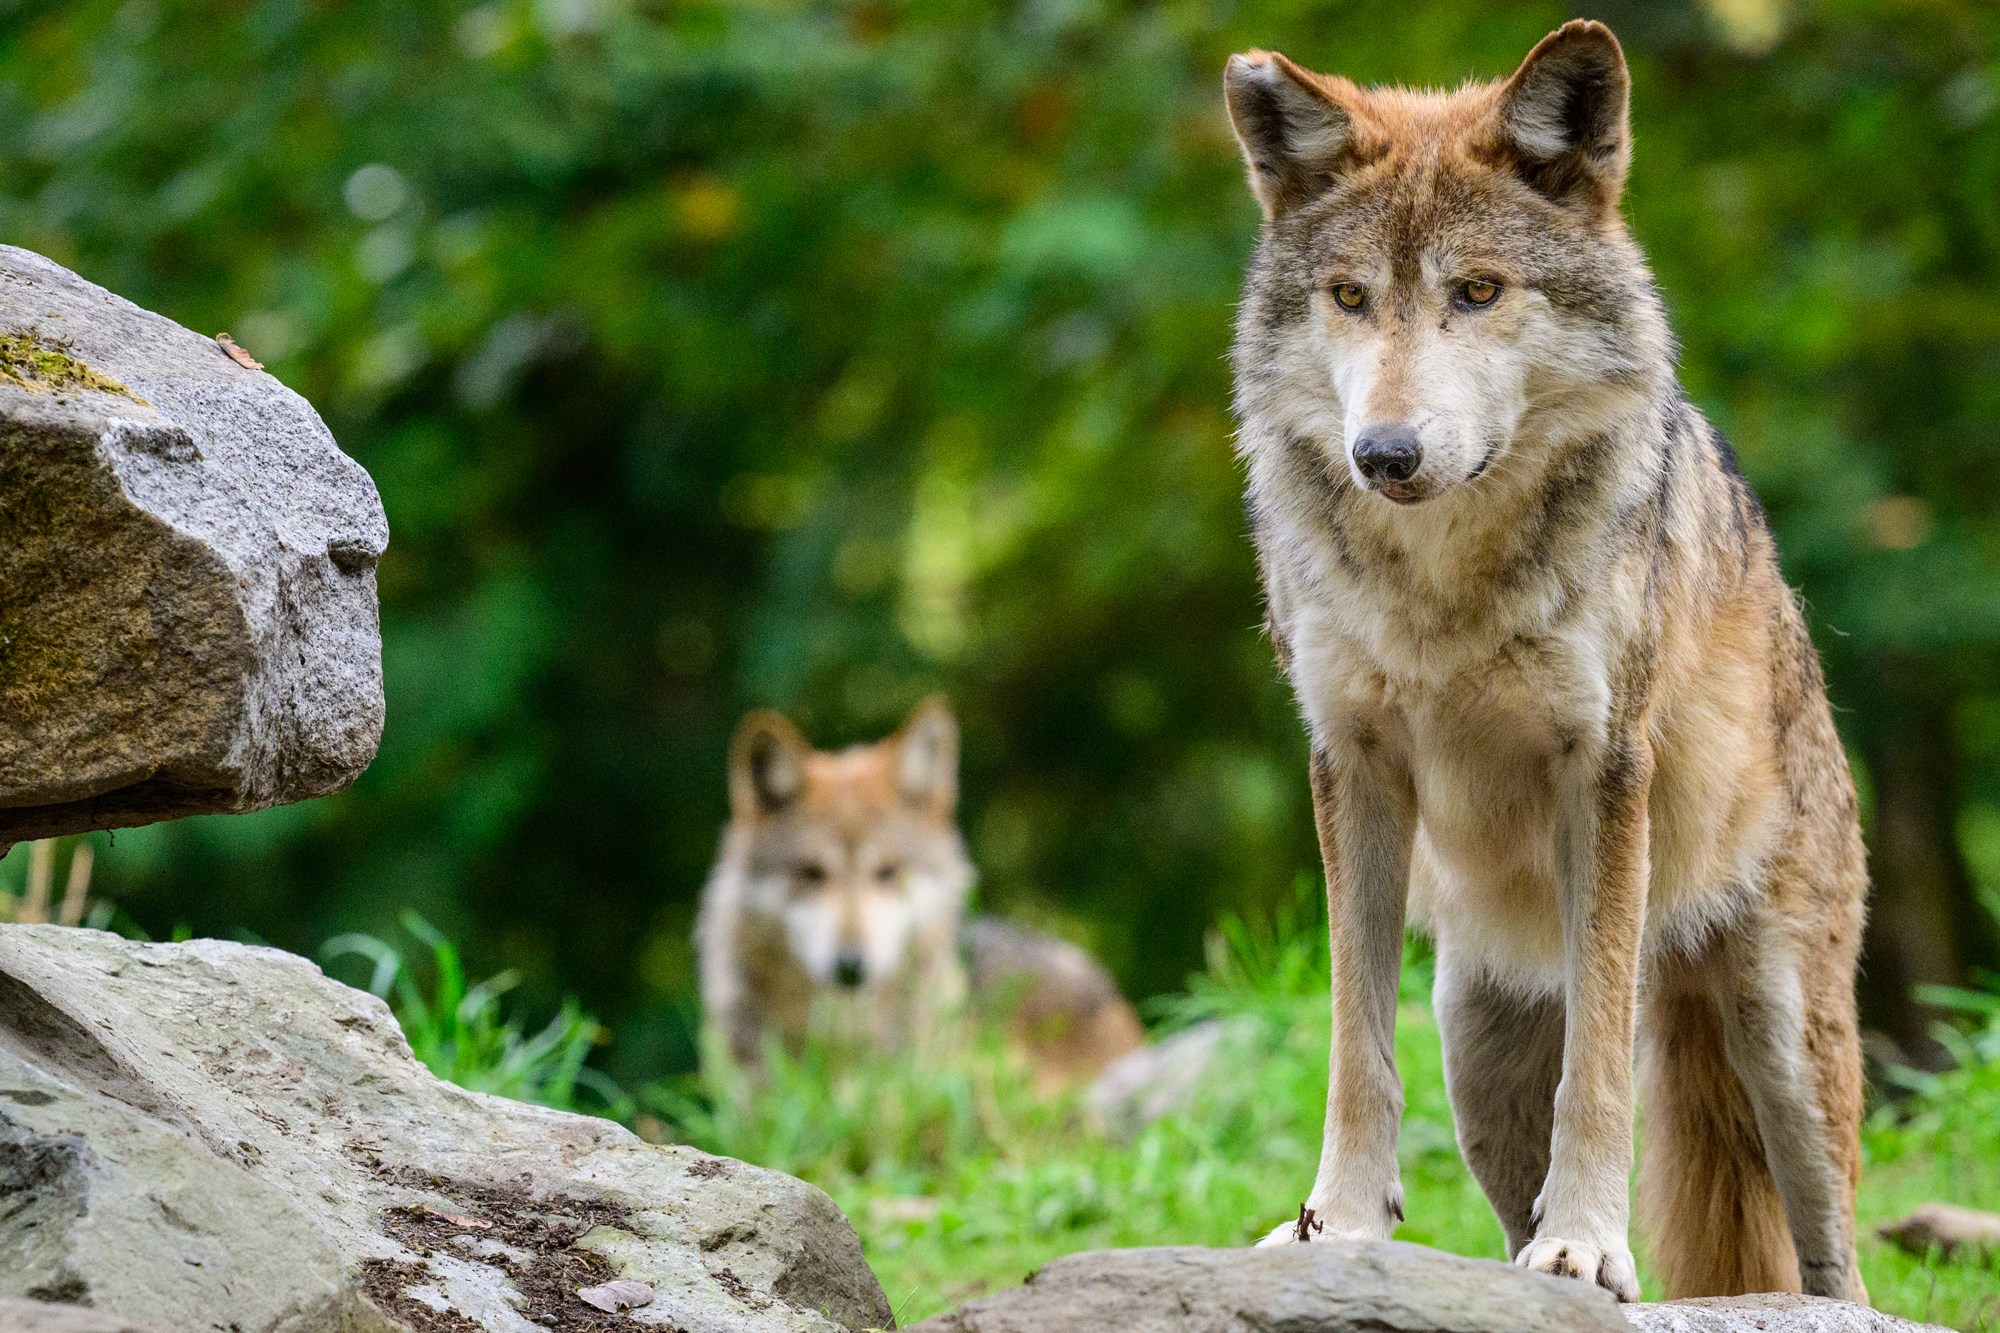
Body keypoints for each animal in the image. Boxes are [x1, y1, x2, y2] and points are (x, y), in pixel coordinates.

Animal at [1222, 20, 1868, 1304]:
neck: (1443, 582)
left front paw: (1586, 1244)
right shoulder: (1350, 765)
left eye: (1476, 291)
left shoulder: (1601, 772)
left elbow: (1599, 1072)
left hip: (1783, 1048)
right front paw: (1336, 1225)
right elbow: (1352, 1050)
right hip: (1475, 1056)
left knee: (1836, 1267)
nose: (1384, 453)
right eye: (1348, 297)